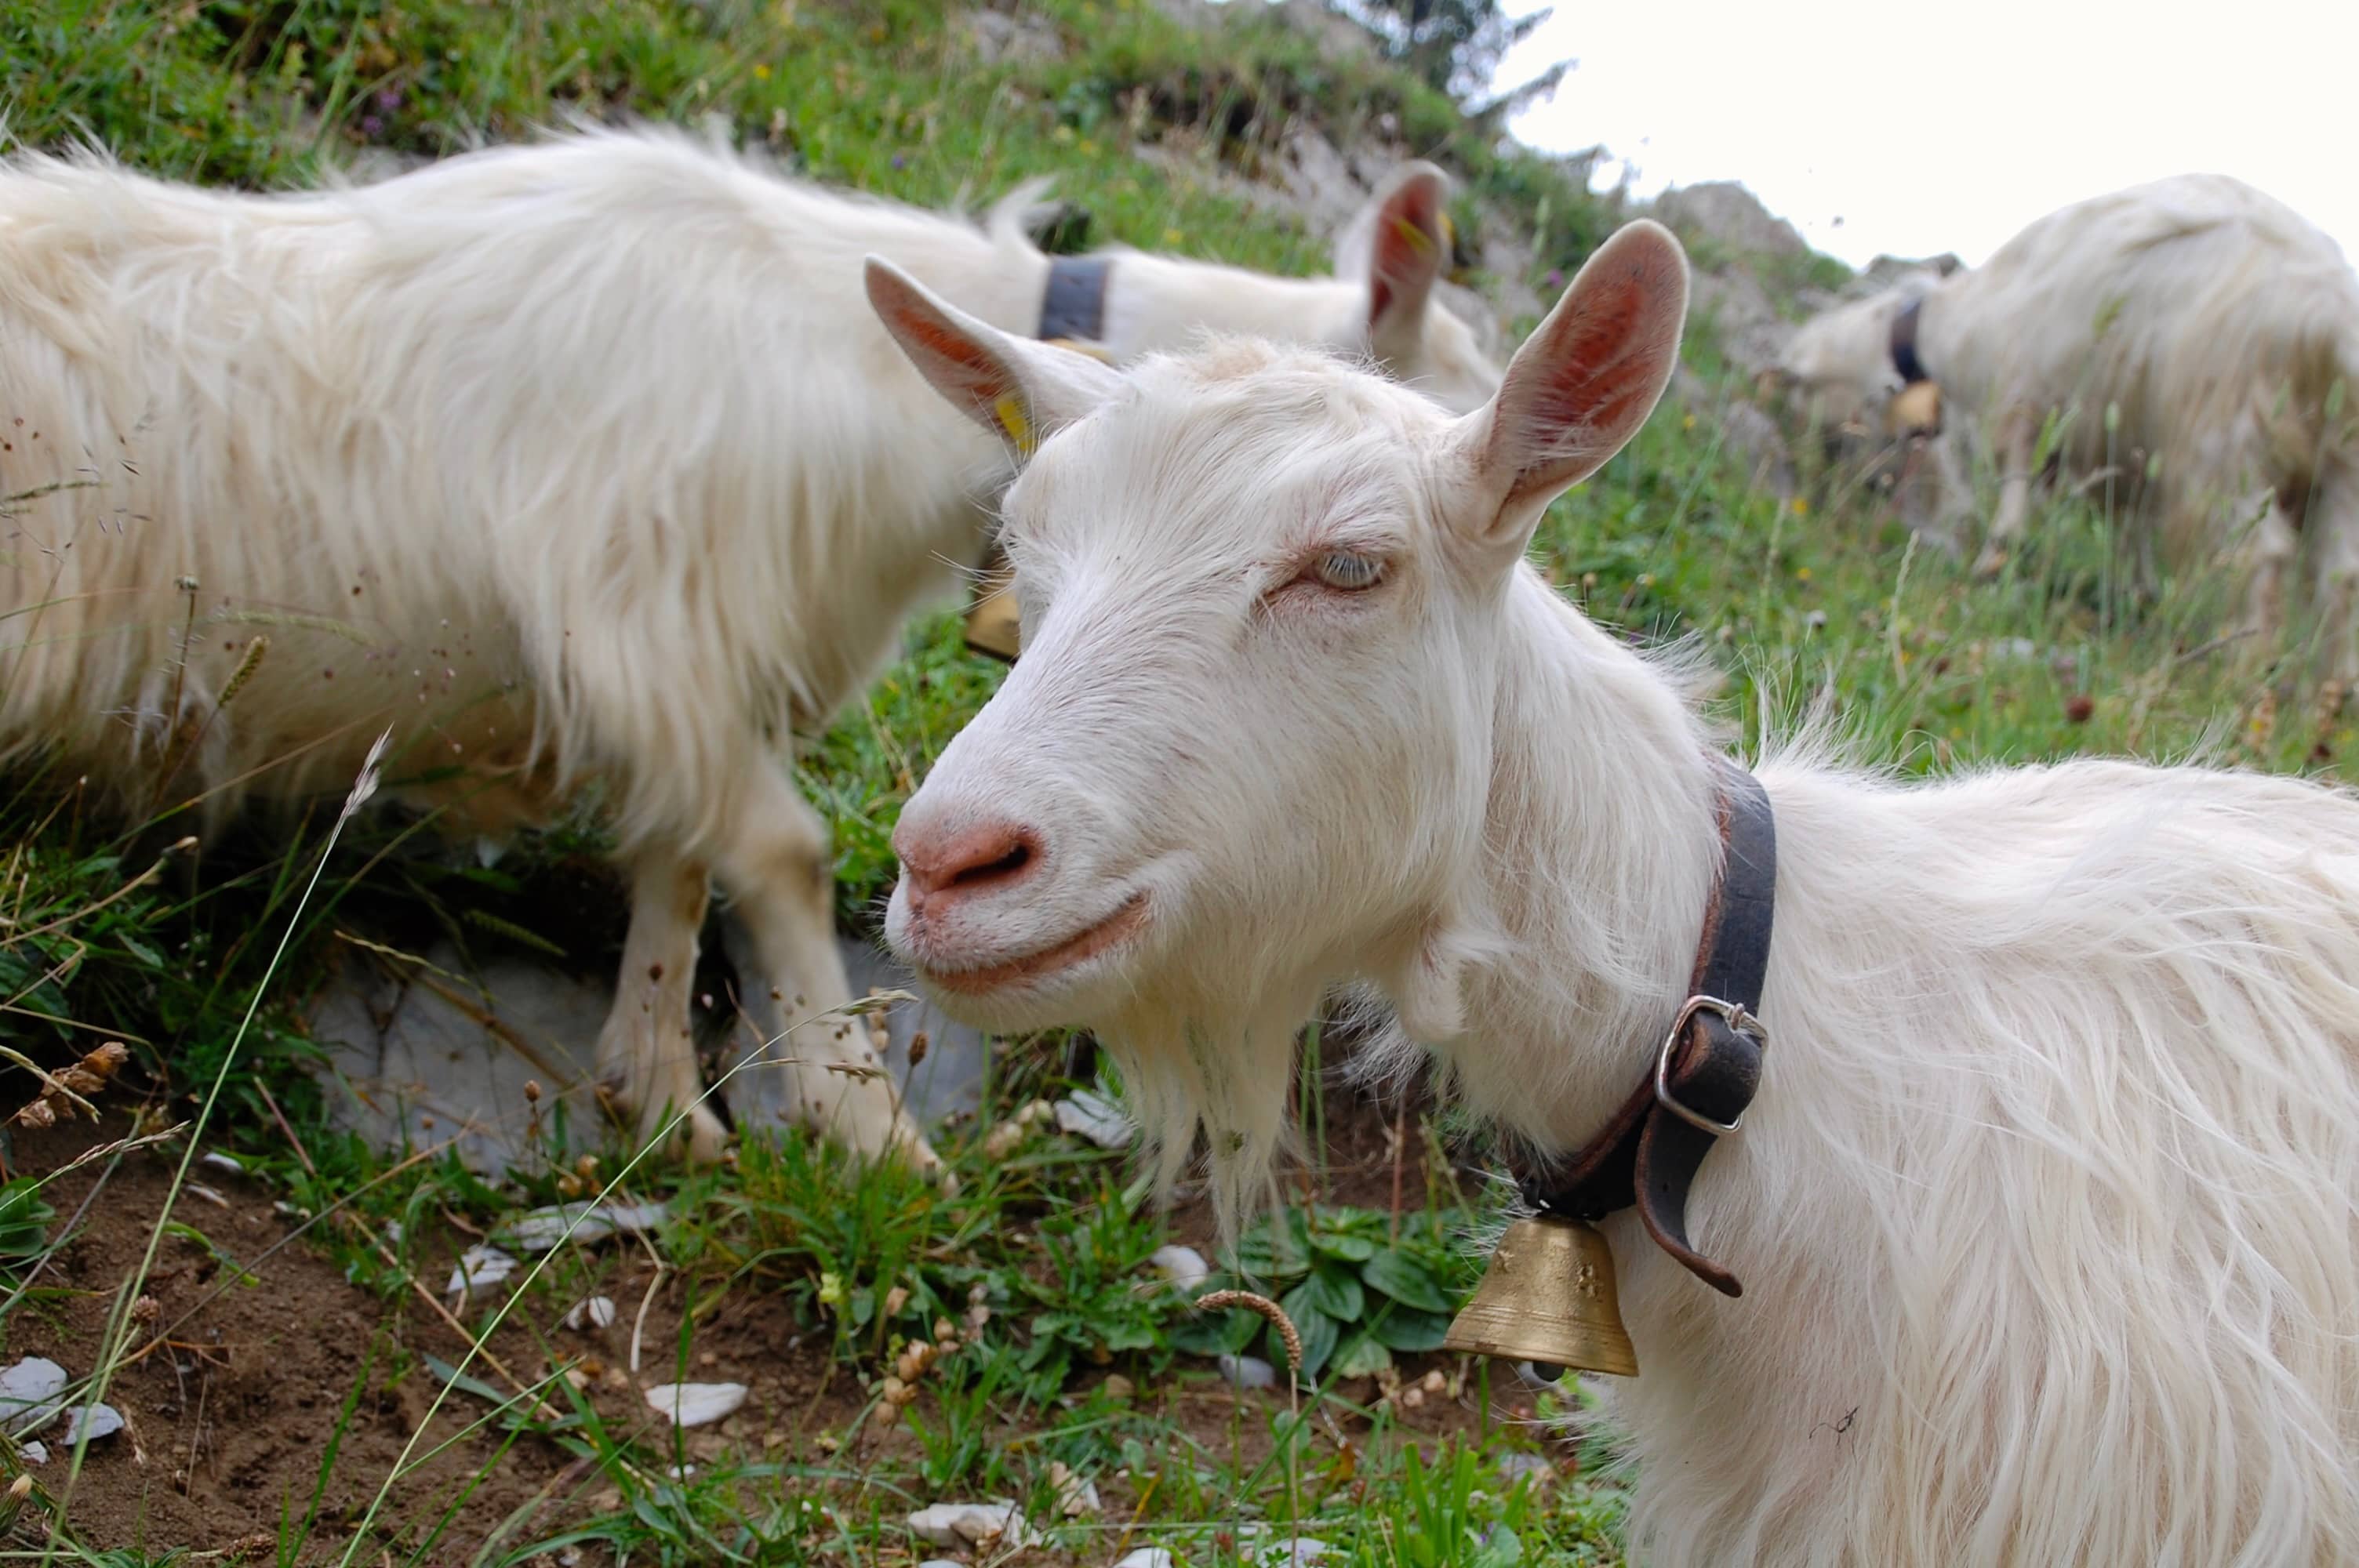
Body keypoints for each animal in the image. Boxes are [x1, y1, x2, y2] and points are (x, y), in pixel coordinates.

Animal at [0, 125, 1500, 1160]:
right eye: (1454, 392)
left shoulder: (689, 662)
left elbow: (674, 857)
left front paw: (656, 1089)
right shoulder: (642, 617)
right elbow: (779, 853)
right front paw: (867, 1132)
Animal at [1774, 176, 2359, 674]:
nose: (1851, 482)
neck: (1951, 330)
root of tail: (2329, 321)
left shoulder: (2023, 401)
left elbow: (2014, 495)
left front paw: (1992, 563)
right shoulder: (2120, 449)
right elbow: (2129, 527)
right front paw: (2140, 593)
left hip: (2225, 440)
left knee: (2260, 554)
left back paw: (2244, 666)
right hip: (2339, 460)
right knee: (2342, 576)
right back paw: (2333, 693)